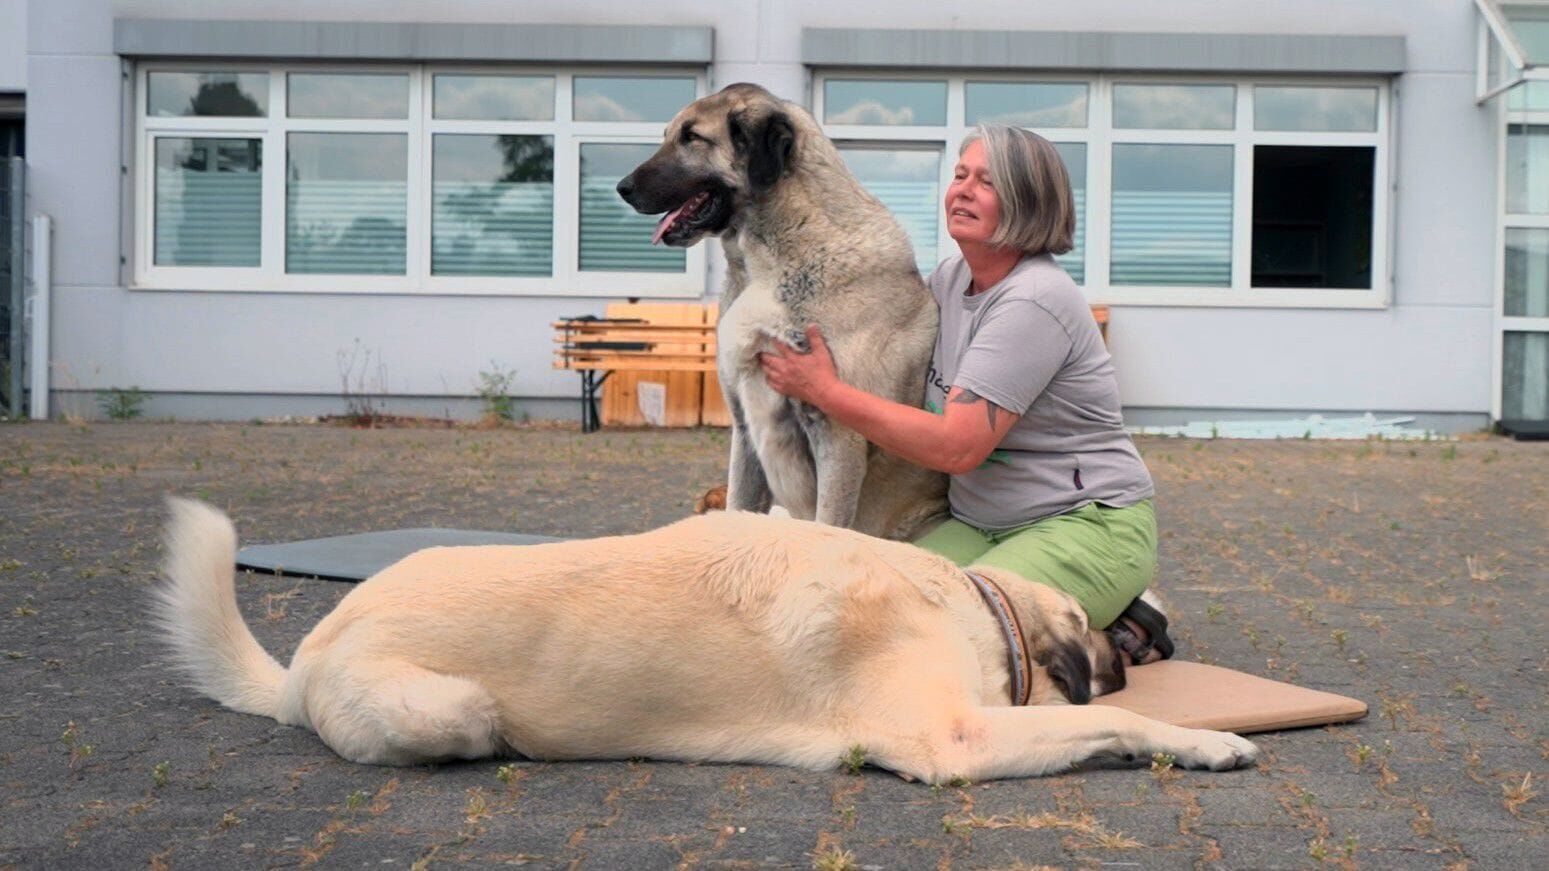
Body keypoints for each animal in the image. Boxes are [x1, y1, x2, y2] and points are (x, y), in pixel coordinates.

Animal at [154, 495, 1257, 781]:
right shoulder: (956, 740)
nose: (1162, 636)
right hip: (451, 707)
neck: (962, 598)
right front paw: (1208, 741)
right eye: (1129, 626)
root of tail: (304, 657)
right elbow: (1116, 725)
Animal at [616, 84, 941, 539]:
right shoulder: (745, 429)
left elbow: (829, 525)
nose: (622, 187)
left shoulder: (838, 437)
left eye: (692, 137)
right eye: (668, 135)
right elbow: (737, 507)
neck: (764, 264)